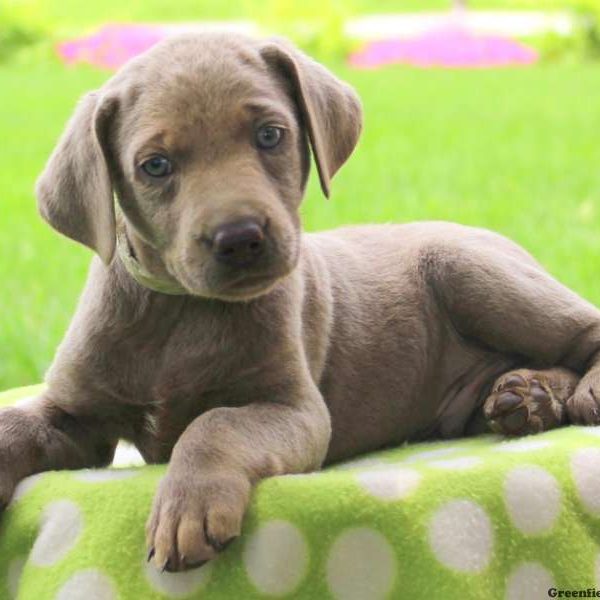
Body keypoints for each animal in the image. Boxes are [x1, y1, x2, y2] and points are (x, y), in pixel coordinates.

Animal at [2, 34, 596, 572]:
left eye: (270, 135)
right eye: (155, 165)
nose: (239, 237)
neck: (183, 311)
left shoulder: (296, 410)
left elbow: (215, 422)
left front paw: (187, 506)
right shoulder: (77, 415)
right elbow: (17, 425)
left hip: (472, 271)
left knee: (582, 332)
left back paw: (568, 393)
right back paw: (529, 397)